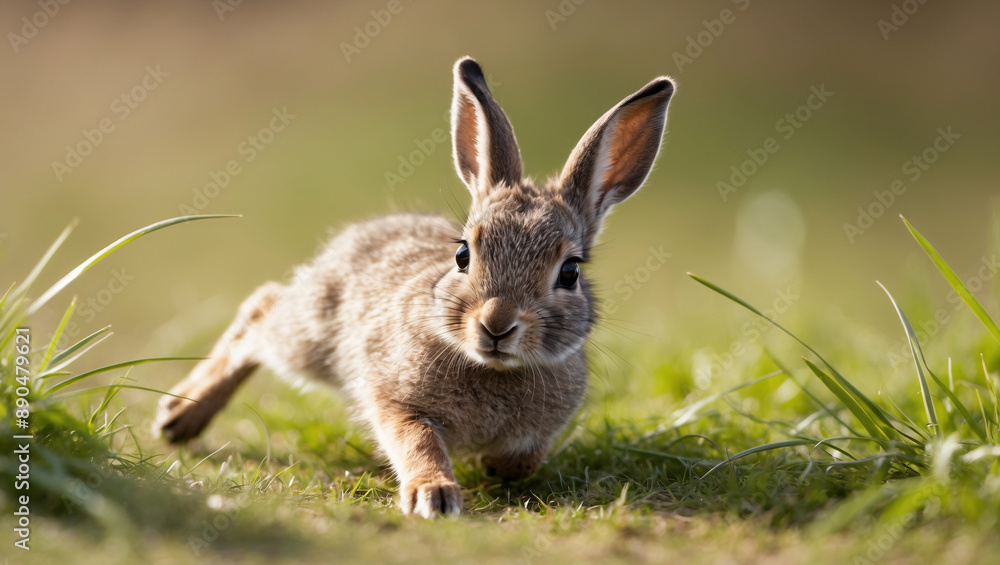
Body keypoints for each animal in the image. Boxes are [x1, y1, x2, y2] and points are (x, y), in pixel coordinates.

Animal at [155, 57, 675, 518]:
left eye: (569, 272)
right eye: (463, 255)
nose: (497, 325)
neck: (491, 368)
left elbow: (525, 459)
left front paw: (496, 466)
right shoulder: (394, 397)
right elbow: (416, 441)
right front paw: (434, 494)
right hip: (309, 336)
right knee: (261, 310)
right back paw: (179, 415)